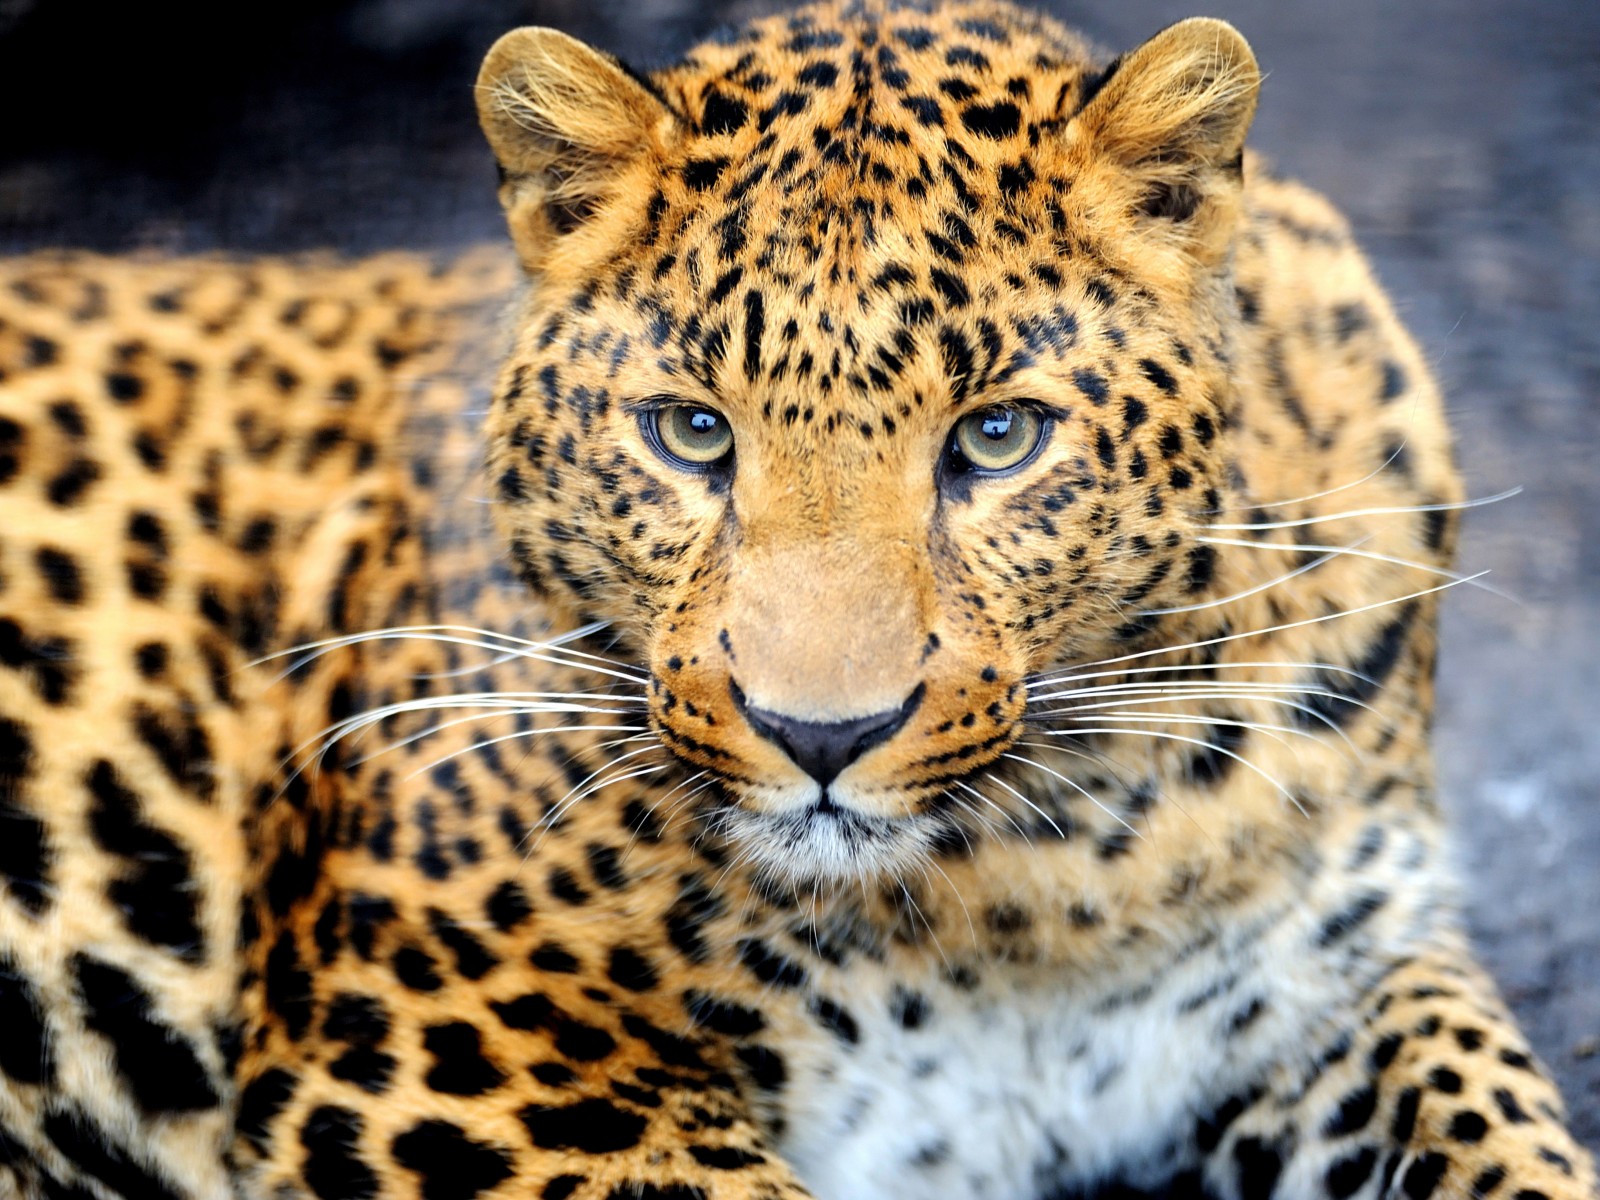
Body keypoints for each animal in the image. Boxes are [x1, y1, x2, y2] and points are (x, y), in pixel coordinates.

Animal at [0, 2, 1593, 1199]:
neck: (1041, 884)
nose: (820, 737)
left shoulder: (1342, 970)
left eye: (996, 438)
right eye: (692, 433)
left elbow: (1505, 1135)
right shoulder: (452, 1040)